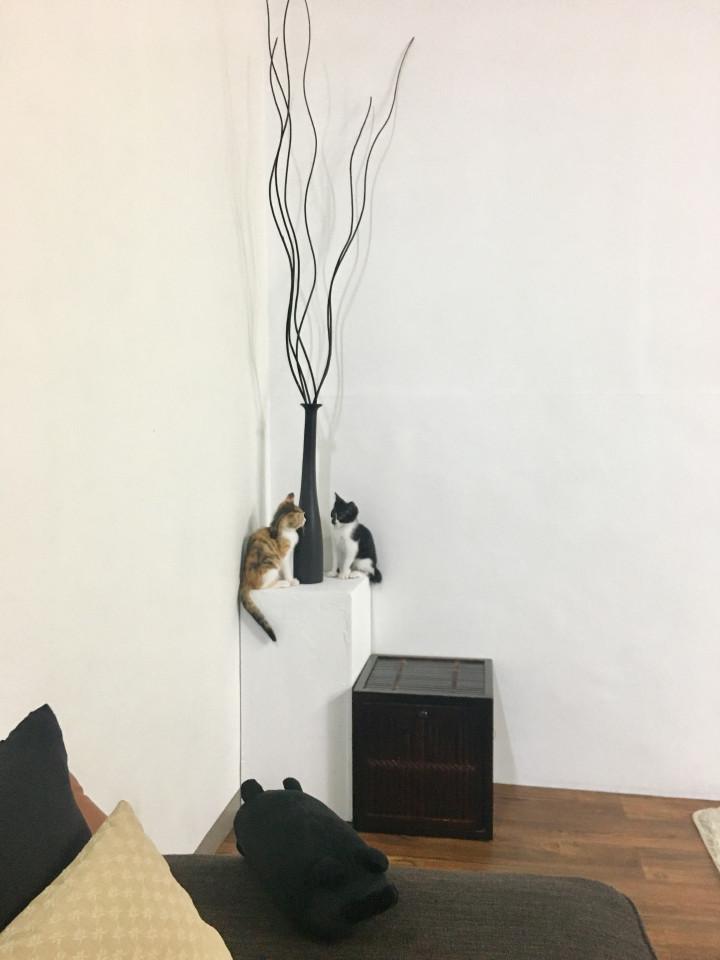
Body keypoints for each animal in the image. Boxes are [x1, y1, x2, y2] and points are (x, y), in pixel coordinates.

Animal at [240, 493, 306, 641]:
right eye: (301, 515)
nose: (306, 518)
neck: (279, 529)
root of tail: (244, 581)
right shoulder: (284, 557)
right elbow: (287, 570)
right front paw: (292, 580)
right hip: (272, 564)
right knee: (261, 587)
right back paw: (283, 583)